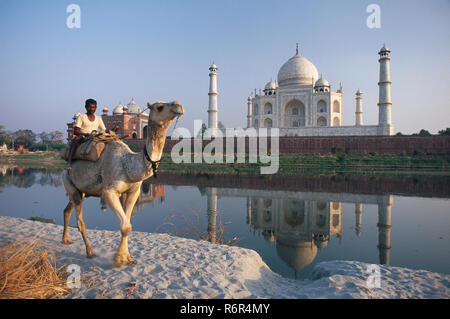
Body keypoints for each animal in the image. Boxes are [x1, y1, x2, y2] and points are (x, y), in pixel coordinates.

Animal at [61, 101, 183, 266]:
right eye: (160, 107)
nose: (178, 105)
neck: (127, 164)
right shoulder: (109, 192)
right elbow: (125, 226)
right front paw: (119, 259)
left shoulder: (134, 192)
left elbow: (128, 225)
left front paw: (127, 257)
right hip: (68, 180)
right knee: (80, 221)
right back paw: (90, 252)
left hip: (81, 190)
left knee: (67, 210)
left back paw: (65, 239)